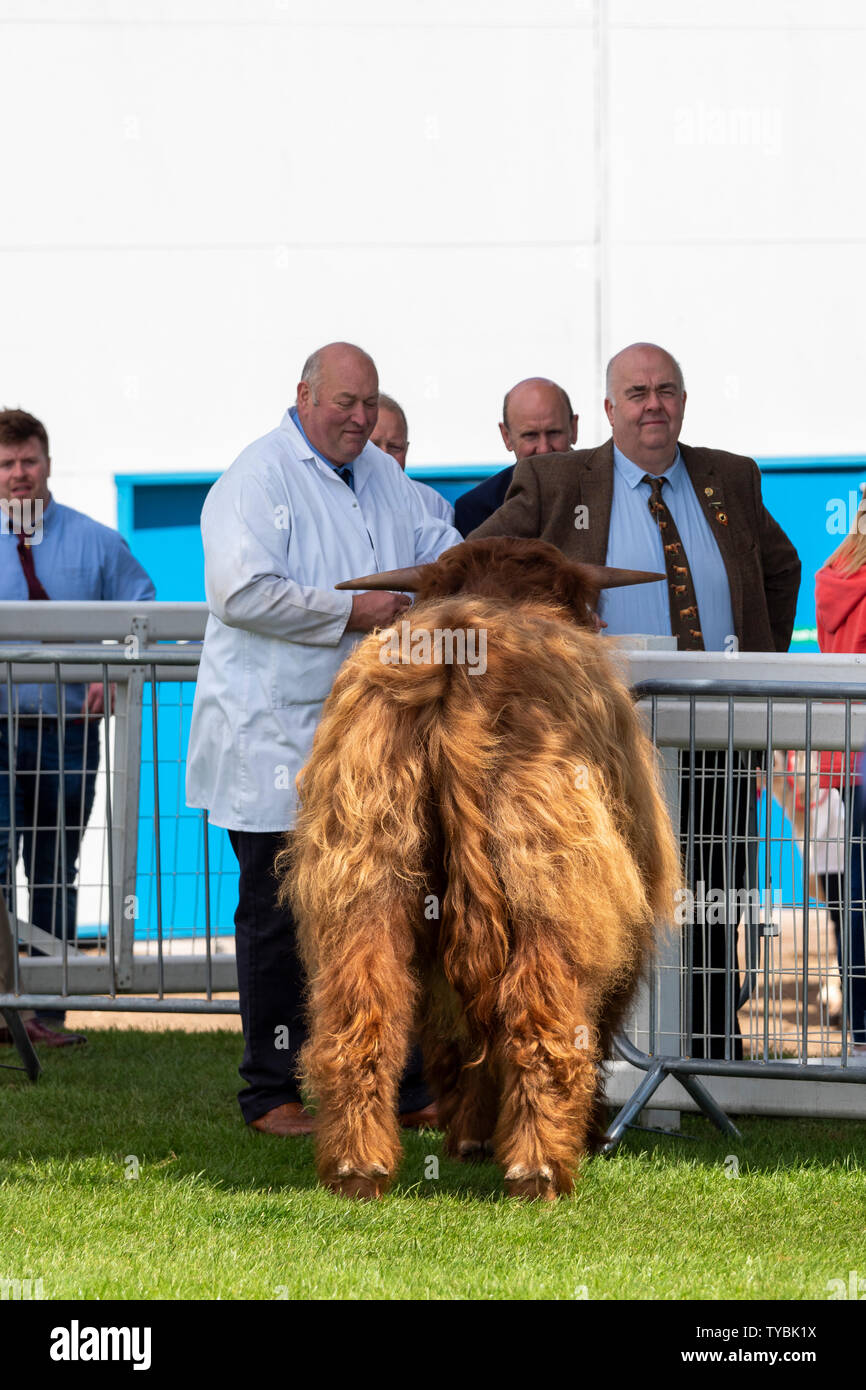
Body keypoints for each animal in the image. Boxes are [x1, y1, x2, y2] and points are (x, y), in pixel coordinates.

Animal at [278, 536, 683, 1200]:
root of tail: (455, 664)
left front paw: (468, 1135)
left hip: (364, 864)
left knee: (366, 1004)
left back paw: (360, 1167)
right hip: (550, 881)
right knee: (540, 1010)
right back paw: (540, 1169)